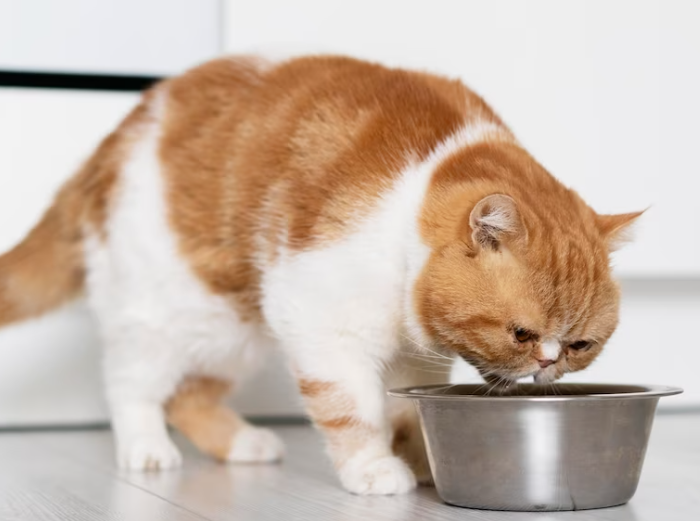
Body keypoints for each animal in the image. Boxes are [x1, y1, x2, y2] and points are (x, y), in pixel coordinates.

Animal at [0, 54, 640, 494]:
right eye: (522, 334)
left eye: (581, 345)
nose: (548, 363)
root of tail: (116, 135)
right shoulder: (324, 325)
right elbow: (351, 407)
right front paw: (375, 468)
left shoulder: (415, 359)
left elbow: (403, 407)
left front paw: (420, 457)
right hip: (169, 312)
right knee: (132, 383)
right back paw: (146, 448)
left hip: (235, 329)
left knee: (188, 394)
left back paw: (242, 442)